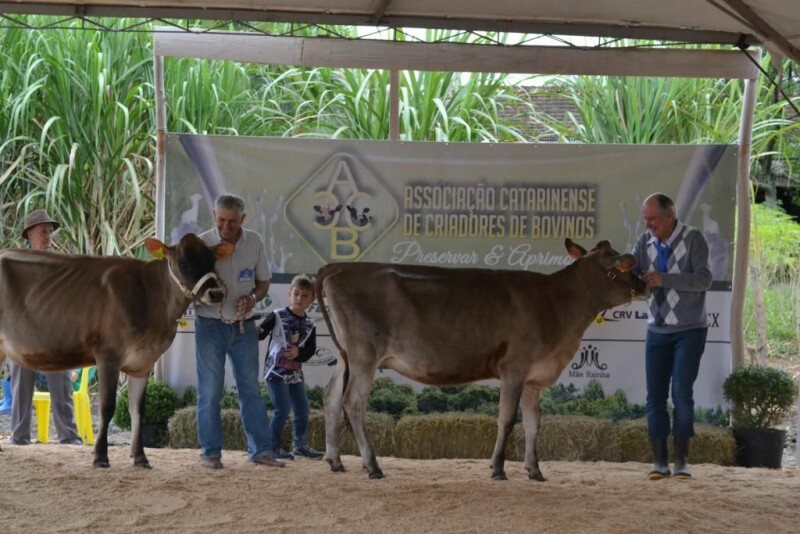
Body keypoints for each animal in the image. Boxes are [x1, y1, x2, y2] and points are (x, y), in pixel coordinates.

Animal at [0, 234, 231, 468]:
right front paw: (100, 456)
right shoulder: (108, 355)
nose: (216, 293)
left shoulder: (143, 363)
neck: (151, 297)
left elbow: (137, 410)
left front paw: (140, 457)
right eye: (184, 264)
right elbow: (107, 407)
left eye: (213, 261)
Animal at [318, 239, 648, 482]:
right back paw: (372, 466)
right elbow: (507, 419)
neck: (557, 305)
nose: (646, 285)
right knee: (353, 402)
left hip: (346, 355)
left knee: (331, 395)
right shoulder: (514, 369)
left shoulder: (533, 379)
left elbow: (533, 424)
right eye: (617, 269)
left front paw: (535, 470)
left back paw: (335, 461)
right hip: (364, 355)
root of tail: (339, 268)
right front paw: (498, 468)